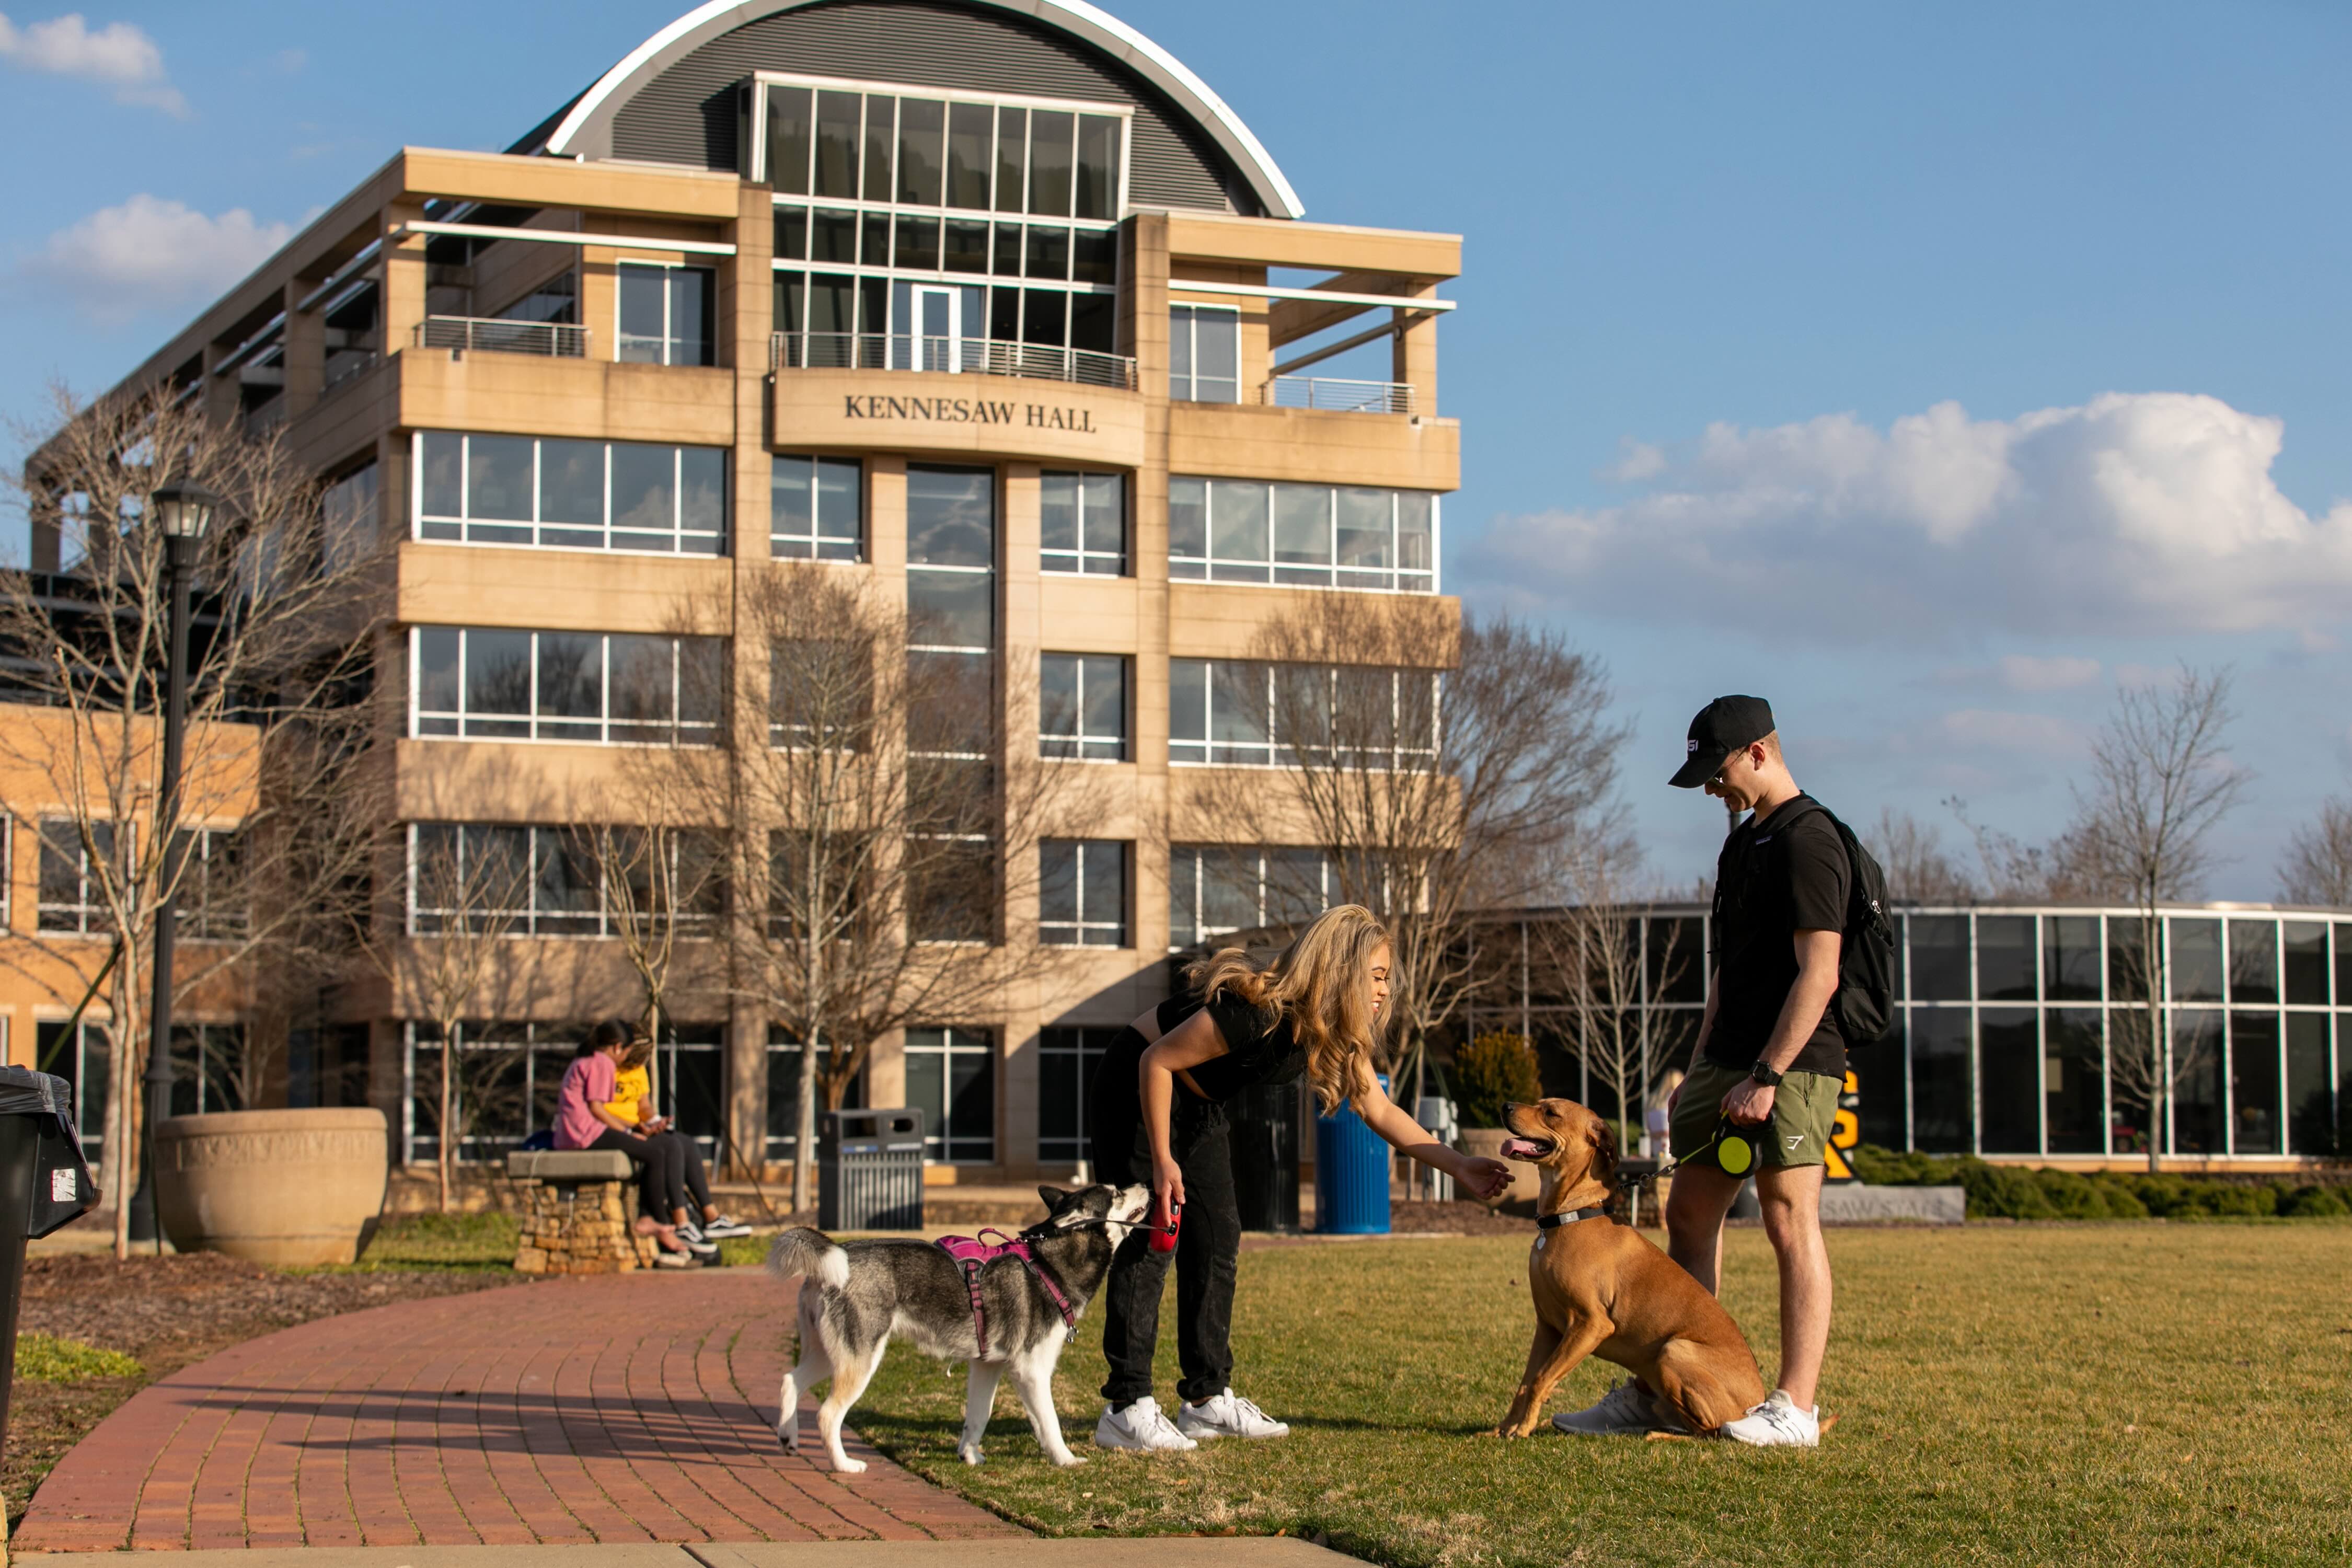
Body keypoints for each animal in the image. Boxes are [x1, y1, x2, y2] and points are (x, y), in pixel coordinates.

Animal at [767, 1189, 1152, 1476]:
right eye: (1116, 1193)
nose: (1145, 1184)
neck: (1048, 1266)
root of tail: (837, 1254)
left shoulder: (987, 1365)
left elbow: (979, 1416)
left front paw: (969, 1456)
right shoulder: (1032, 1371)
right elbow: (1049, 1423)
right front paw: (1066, 1460)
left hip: (829, 1354)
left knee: (789, 1382)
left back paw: (788, 1438)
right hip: (861, 1360)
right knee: (827, 1415)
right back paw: (844, 1465)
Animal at [1486, 1100, 1769, 1438]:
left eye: (1551, 1113)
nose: (1505, 1106)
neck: (1571, 1216)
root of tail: (1755, 1403)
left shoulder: (1591, 1324)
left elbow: (1542, 1379)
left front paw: (1523, 1429)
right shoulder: (1548, 1327)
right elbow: (1525, 1384)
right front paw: (1505, 1428)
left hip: (1674, 1351)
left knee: (1711, 1430)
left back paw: (1661, 1435)